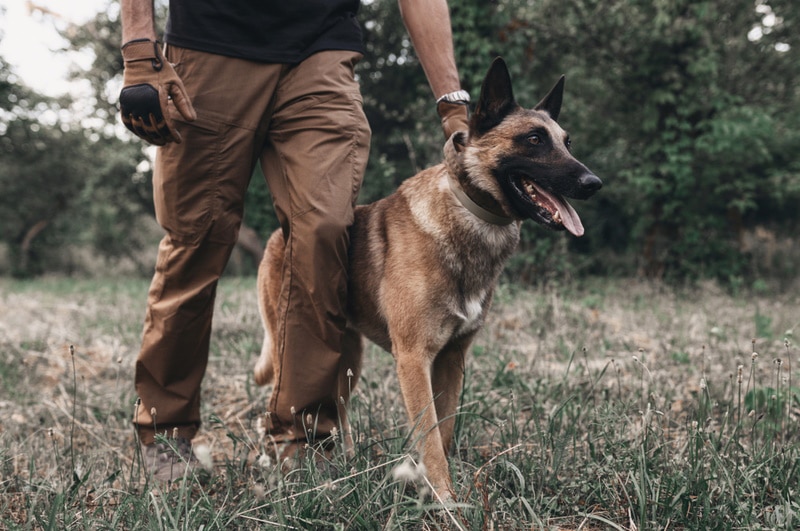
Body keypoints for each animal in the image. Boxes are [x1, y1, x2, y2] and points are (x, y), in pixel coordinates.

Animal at [255, 58, 600, 502]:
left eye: (566, 143)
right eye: (535, 139)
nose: (593, 183)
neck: (467, 216)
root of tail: (281, 234)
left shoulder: (452, 360)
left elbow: (445, 430)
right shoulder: (413, 359)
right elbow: (431, 437)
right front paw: (445, 500)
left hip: (347, 358)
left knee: (338, 408)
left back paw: (344, 463)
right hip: (294, 347)